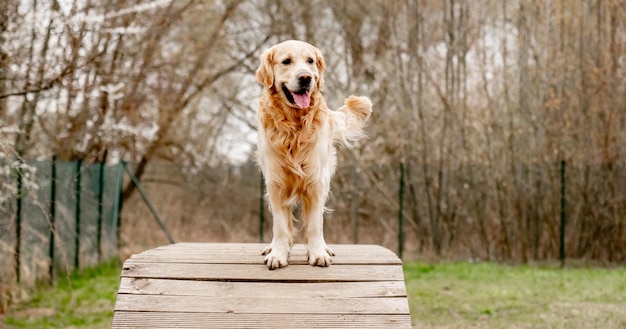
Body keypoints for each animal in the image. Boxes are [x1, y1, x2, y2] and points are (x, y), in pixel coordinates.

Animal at [255, 39, 370, 268]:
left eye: (310, 61)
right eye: (286, 61)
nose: (306, 77)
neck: (294, 126)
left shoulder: (316, 182)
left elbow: (316, 224)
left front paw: (318, 253)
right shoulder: (276, 182)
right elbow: (280, 226)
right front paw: (278, 254)